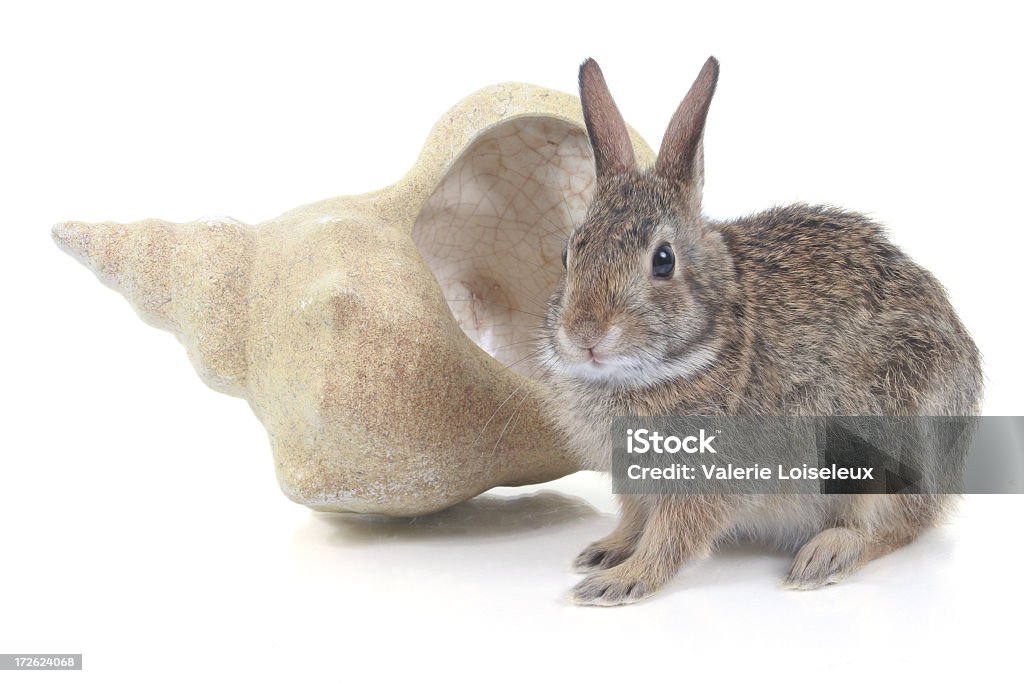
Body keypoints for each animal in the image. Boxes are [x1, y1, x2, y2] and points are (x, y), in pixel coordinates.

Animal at [540, 56, 987, 606]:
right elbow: (635, 518)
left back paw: (825, 556)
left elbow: (672, 533)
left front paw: (622, 581)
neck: (700, 348)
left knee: (896, 525)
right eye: (568, 254)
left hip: (886, 437)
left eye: (663, 260)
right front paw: (606, 551)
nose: (585, 334)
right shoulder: (636, 481)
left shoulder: (714, 473)